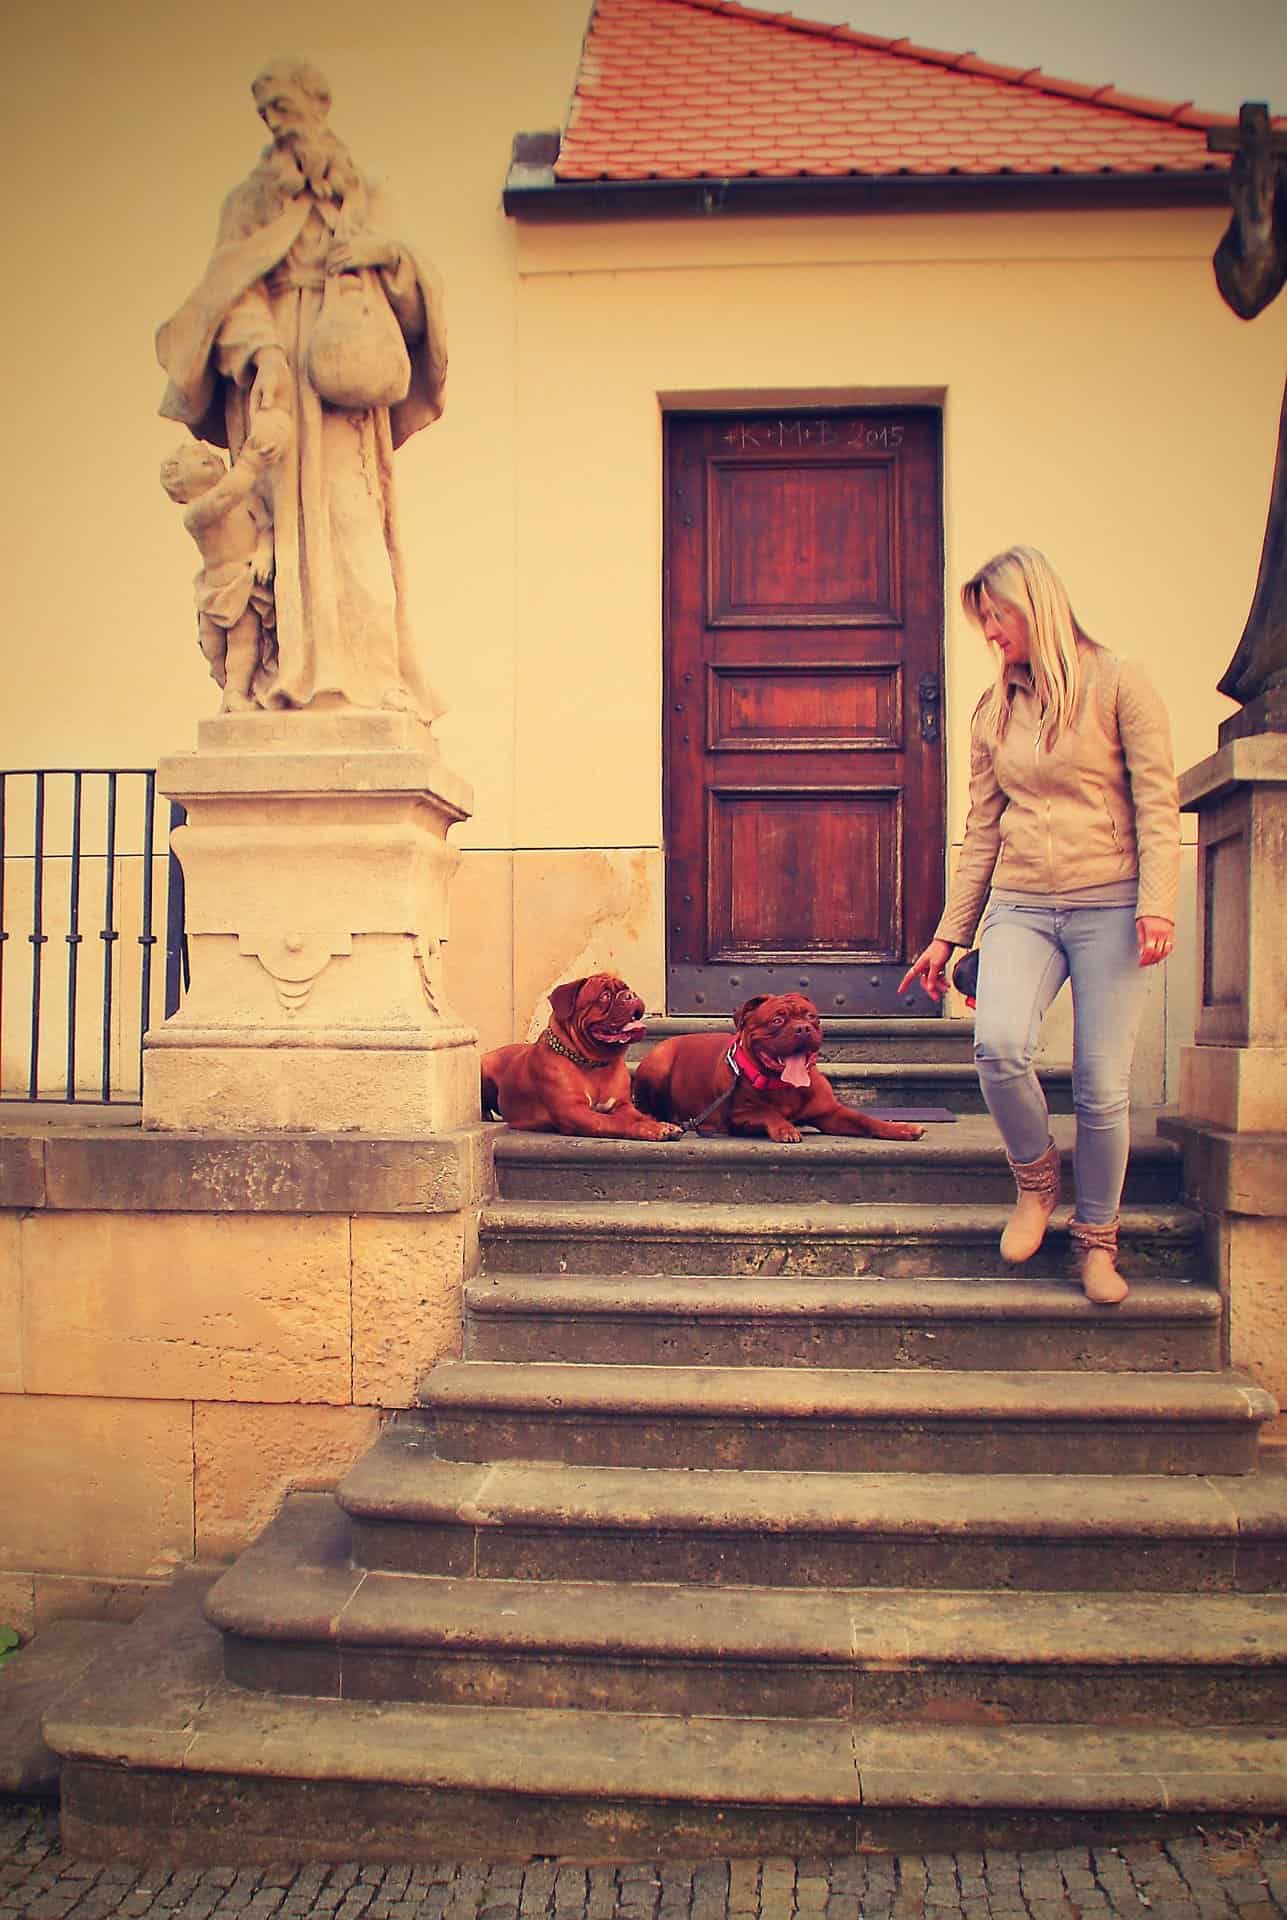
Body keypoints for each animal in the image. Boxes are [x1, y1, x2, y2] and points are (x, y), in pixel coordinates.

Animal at [482, 975, 683, 1136]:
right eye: (604, 996)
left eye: (627, 988)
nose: (630, 995)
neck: (595, 1063)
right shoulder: (574, 1112)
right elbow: (617, 1122)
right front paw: (654, 1129)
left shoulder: (622, 1105)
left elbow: (639, 1116)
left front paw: (660, 1123)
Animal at [633, 990, 929, 1136]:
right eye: (777, 1020)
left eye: (811, 1017)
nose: (802, 1028)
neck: (783, 1085)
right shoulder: (738, 1116)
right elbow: (767, 1112)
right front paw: (786, 1128)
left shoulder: (831, 1113)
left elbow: (865, 1120)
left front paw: (900, 1128)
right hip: (659, 1064)